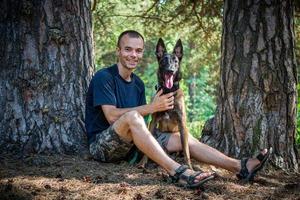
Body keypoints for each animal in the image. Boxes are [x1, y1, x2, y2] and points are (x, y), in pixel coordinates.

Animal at [140, 38, 192, 170]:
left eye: (175, 61)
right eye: (164, 61)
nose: (170, 70)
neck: (169, 92)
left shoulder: (182, 123)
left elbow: (186, 149)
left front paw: (190, 167)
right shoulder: (153, 121)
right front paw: (142, 162)